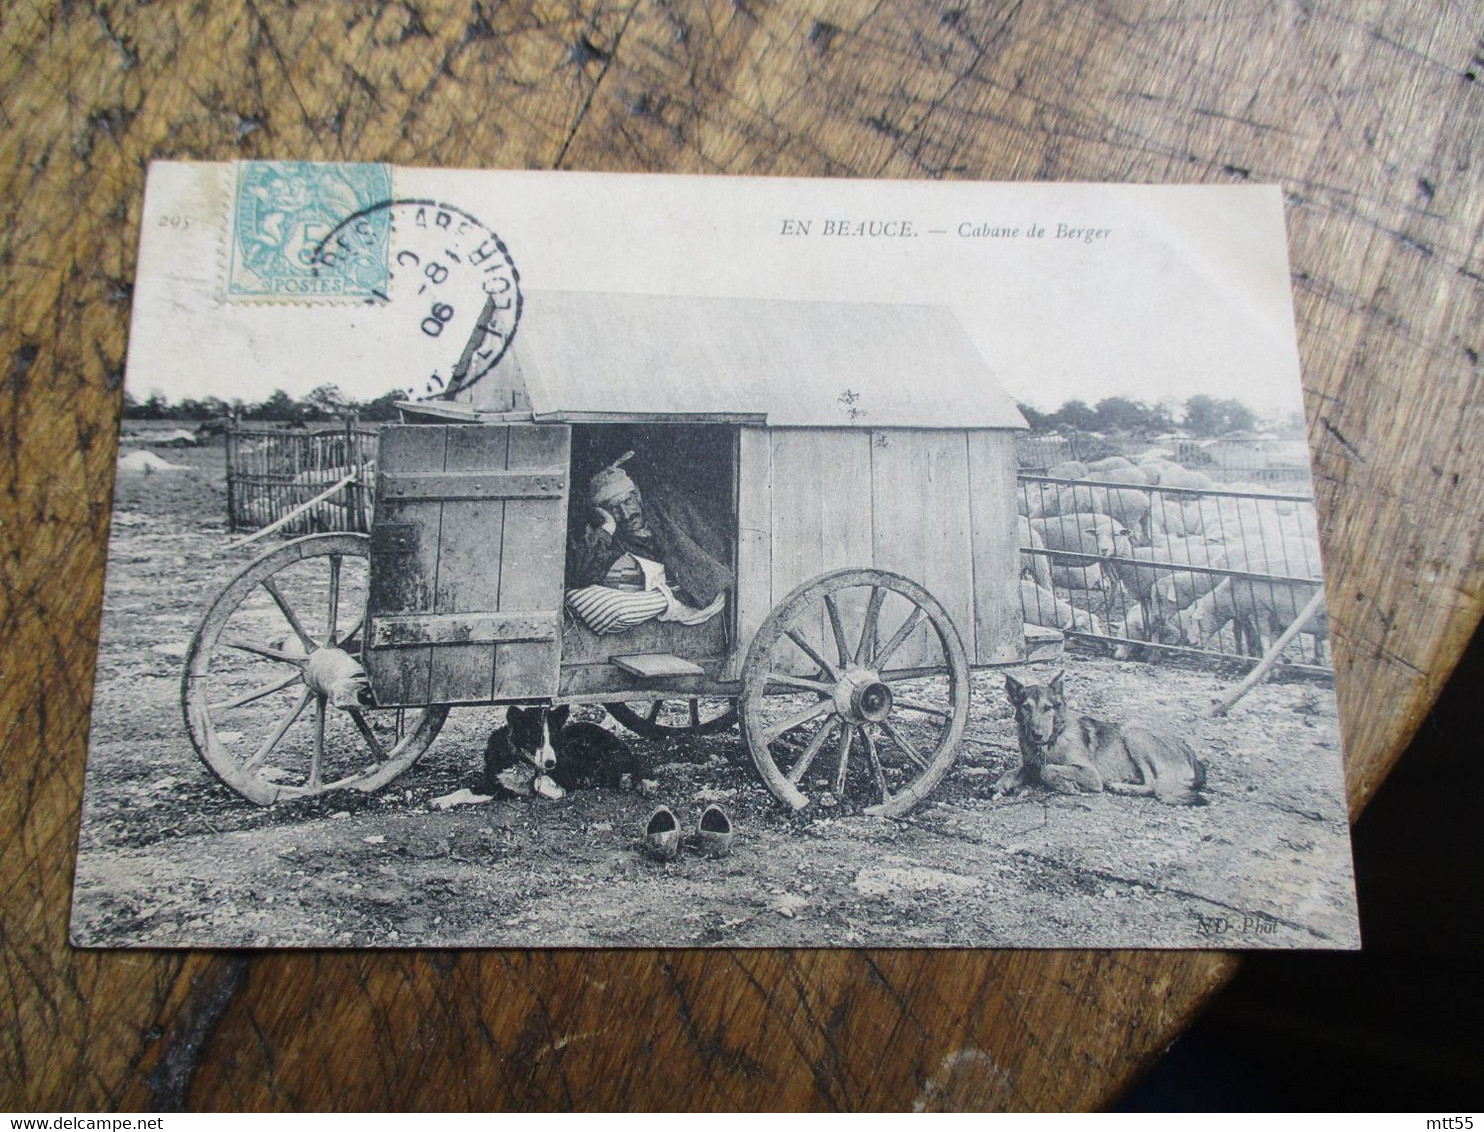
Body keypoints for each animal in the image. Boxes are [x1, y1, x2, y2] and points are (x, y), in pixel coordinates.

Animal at [483, 703, 652, 801]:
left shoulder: (566, 770)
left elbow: (538, 782)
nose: (550, 763)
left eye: (555, 737)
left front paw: (556, 790)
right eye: (535, 738)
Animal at [997, 673, 1205, 807]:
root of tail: (1191, 753)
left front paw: (1066, 785)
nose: (1037, 735)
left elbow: (1047, 769)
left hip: (1133, 732)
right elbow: (1015, 771)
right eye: (1025, 707)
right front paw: (1002, 783)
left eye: (1047, 708)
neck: (1053, 739)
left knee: (1153, 785)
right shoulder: (1030, 764)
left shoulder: (1091, 774)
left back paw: (1122, 788)